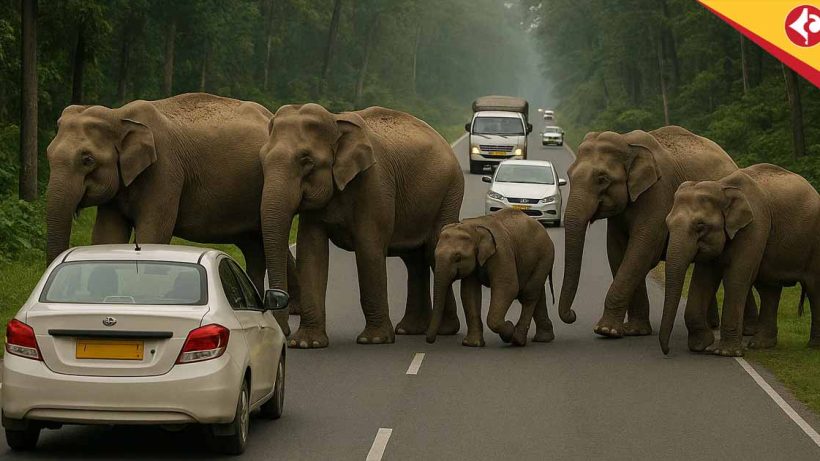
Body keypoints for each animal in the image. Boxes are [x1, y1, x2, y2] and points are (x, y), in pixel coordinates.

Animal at [45, 92, 300, 331]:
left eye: (87, 159)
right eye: (48, 154)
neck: (119, 116)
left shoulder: (165, 170)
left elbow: (153, 232)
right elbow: (107, 236)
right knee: (257, 245)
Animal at [259, 103, 464, 348]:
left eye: (306, 160)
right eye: (262, 159)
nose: (283, 331)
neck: (335, 121)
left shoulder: (375, 181)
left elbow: (369, 247)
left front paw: (373, 340)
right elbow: (311, 251)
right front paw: (306, 344)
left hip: (449, 192)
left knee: (433, 251)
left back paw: (445, 330)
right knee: (414, 260)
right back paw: (409, 329)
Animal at [425, 209, 556, 347]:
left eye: (458, 258)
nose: (430, 341)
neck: (473, 227)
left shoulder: (501, 251)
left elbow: (508, 287)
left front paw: (508, 330)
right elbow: (469, 293)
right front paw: (472, 344)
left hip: (545, 255)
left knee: (529, 294)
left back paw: (517, 340)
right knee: (537, 294)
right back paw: (543, 338)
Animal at [557, 126, 758, 337]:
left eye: (602, 179)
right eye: (569, 175)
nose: (572, 314)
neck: (627, 142)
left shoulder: (658, 194)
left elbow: (641, 250)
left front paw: (606, 330)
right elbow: (618, 252)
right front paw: (635, 330)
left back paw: (744, 330)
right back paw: (713, 325)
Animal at [660, 164, 820, 356]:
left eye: (700, 226)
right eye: (667, 223)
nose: (667, 351)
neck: (721, 187)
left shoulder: (755, 225)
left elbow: (736, 278)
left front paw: (724, 353)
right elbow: (703, 279)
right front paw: (701, 345)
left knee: (814, 288)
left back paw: (813, 346)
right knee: (769, 289)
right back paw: (760, 345)